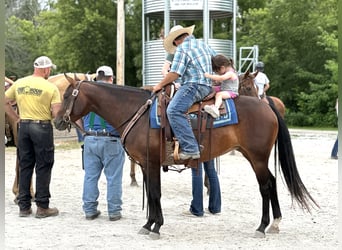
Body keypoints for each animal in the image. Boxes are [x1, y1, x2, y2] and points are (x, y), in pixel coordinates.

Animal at [54, 76, 318, 240]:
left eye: (67, 96)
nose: (57, 121)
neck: (136, 113)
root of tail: (266, 106)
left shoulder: (151, 164)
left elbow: (155, 193)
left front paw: (156, 227)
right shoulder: (146, 165)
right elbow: (152, 194)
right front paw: (148, 224)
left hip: (258, 157)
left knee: (265, 185)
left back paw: (262, 226)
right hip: (253, 156)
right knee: (271, 183)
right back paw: (275, 223)